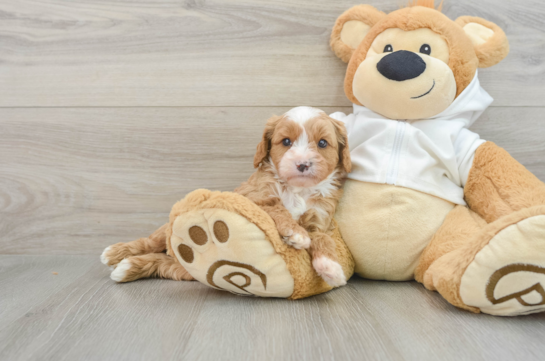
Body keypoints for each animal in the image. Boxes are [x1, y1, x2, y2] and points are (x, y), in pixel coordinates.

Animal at [236, 105, 350, 286]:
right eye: (286, 142)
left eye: (322, 143)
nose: (302, 164)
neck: (299, 190)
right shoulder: (255, 197)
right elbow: (278, 208)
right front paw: (297, 233)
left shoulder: (319, 216)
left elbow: (322, 237)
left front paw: (331, 267)